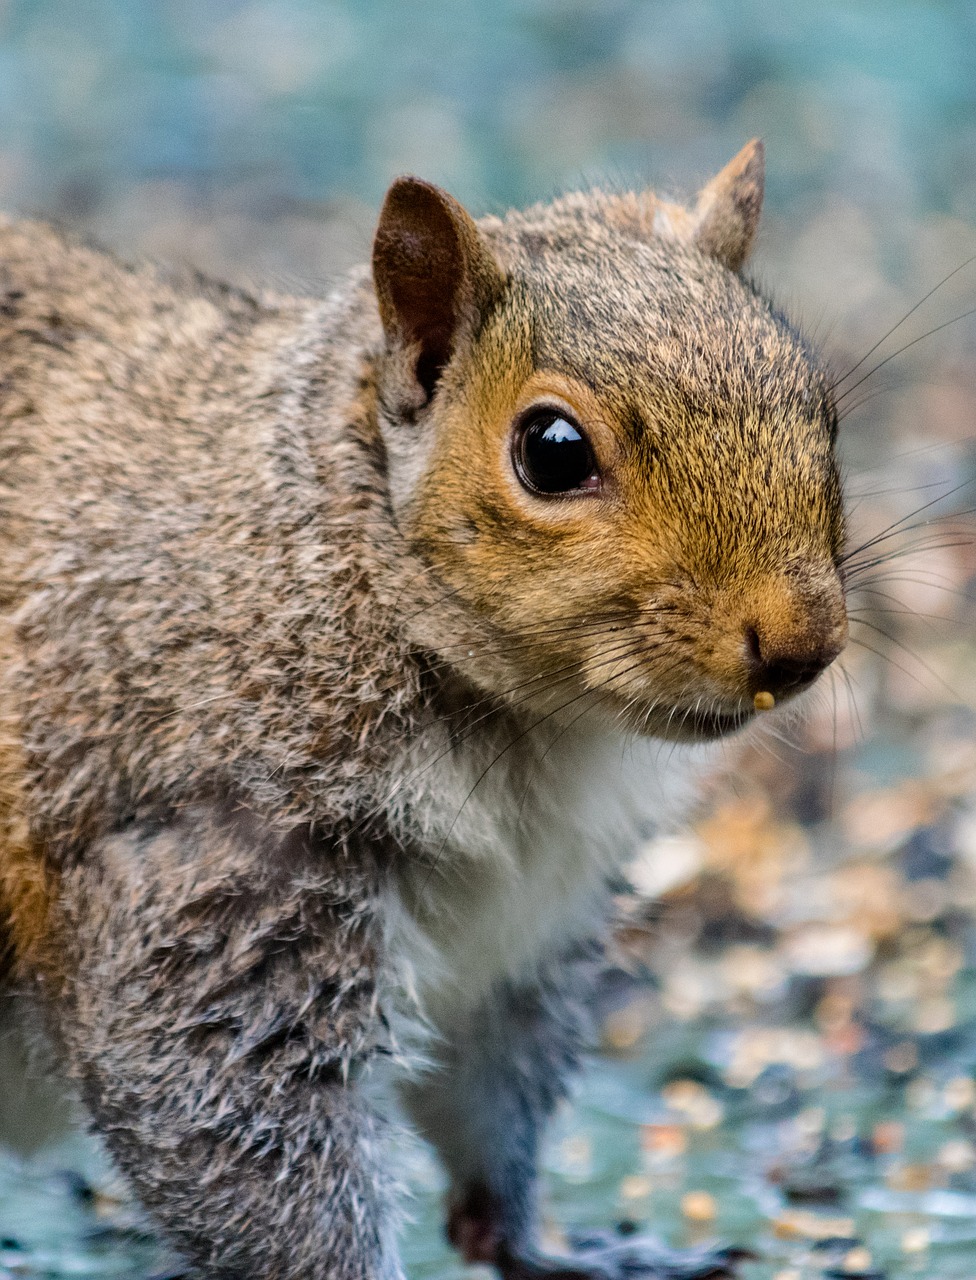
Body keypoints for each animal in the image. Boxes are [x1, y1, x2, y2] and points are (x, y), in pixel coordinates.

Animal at [0, 135, 845, 1274]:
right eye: (553, 451)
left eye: (821, 407)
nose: (803, 644)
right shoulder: (209, 864)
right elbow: (238, 1125)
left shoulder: (525, 936)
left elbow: (494, 1099)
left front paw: (543, 1241)